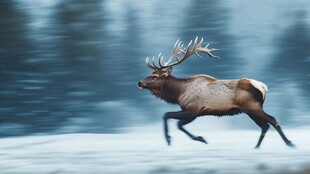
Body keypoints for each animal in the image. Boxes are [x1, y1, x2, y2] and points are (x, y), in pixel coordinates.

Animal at [137, 36, 294, 148]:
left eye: (155, 76)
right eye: (151, 73)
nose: (139, 82)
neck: (179, 93)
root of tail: (263, 87)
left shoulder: (193, 109)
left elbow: (175, 121)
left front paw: (199, 139)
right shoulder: (191, 110)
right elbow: (167, 116)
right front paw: (169, 139)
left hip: (252, 107)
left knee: (272, 120)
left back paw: (289, 143)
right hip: (249, 110)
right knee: (264, 125)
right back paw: (256, 147)